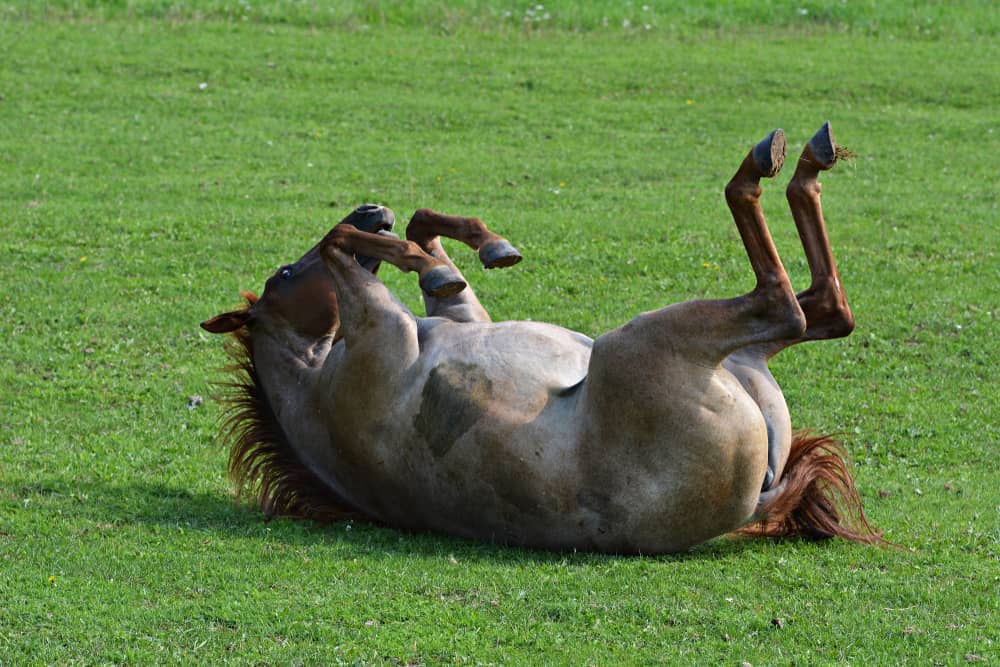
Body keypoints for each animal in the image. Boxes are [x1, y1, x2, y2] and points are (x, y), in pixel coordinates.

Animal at [201, 124, 884, 552]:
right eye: (283, 275)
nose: (372, 210)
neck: (320, 385)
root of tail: (757, 500)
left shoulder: (456, 319)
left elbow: (428, 238)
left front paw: (479, 248)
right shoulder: (381, 325)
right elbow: (348, 247)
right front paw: (418, 255)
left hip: (735, 354)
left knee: (822, 308)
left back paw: (806, 162)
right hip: (644, 340)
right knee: (791, 305)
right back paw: (777, 165)